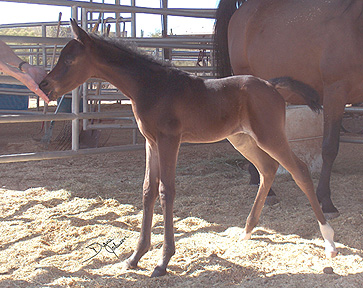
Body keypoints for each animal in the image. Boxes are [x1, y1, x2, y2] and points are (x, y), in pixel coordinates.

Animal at [39, 20, 338, 276]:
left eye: (69, 59)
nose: (44, 85)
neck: (151, 86)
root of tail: (271, 84)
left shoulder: (169, 139)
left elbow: (166, 191)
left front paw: (162, 262)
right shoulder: (151, 142)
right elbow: (147, 190)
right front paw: (135, 257)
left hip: (269, 135)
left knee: (299, 170)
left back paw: (329, 241)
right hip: (242, 139)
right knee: (267, 168)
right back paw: (247, 231)